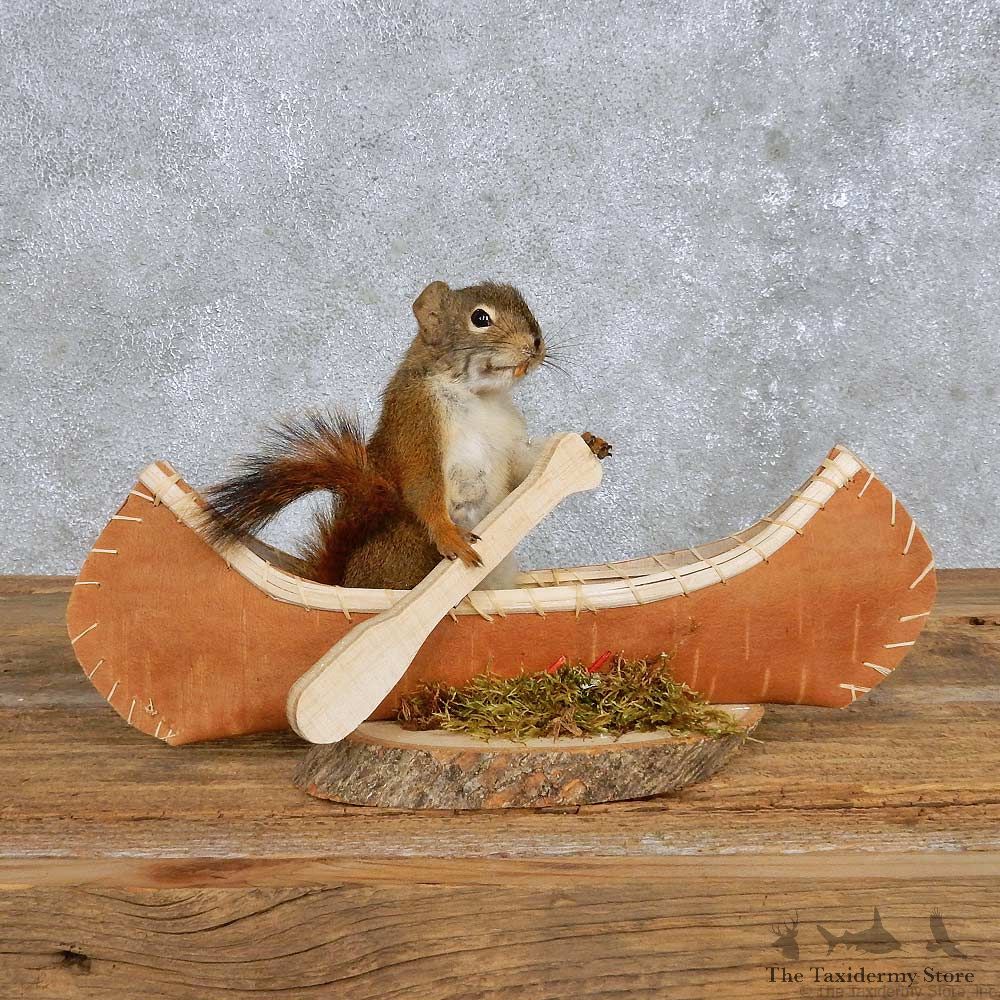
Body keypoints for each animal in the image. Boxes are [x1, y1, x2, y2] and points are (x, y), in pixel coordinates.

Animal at [202, 279, 611, 590]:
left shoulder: (509, 440)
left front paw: (588, 443)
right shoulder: (416, 422)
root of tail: (348, 582)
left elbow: (529, 468)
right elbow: (422, 485)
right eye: (480, 318)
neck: (478, 396)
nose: (536, 344)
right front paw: (449, 535)